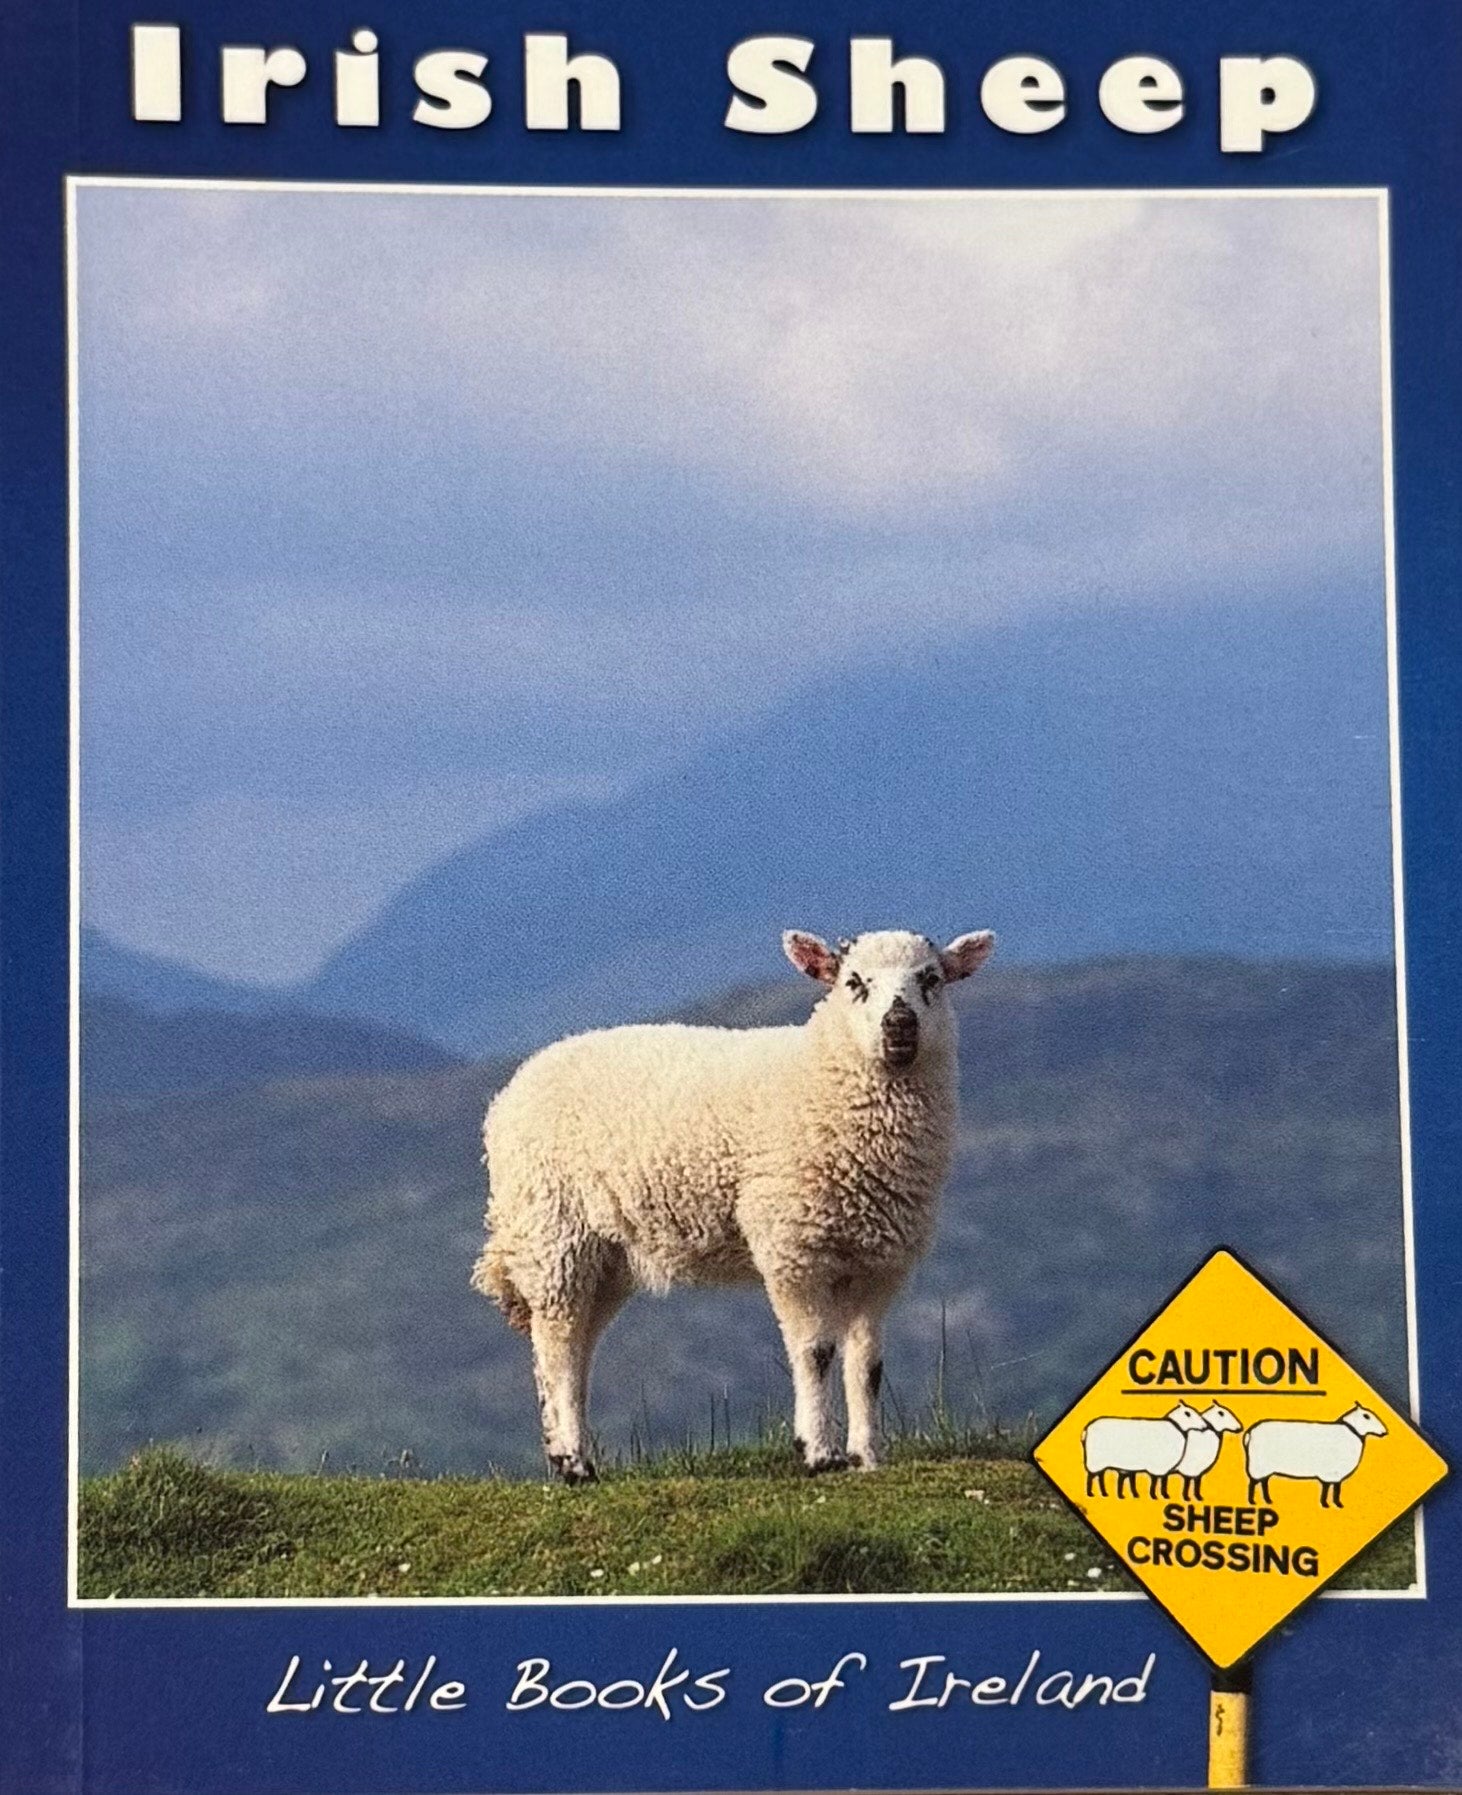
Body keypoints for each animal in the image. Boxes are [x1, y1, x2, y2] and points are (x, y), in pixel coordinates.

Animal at [472, 925, 995, 1481]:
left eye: (931, 979)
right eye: (853, 982)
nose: (900, 1025)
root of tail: (511, 1091)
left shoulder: (881, 1263)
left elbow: (867, 1364)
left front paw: (867, 1457)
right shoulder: (793, 1247)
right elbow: (815, 1353)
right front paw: (819, 1452)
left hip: (607, 1257)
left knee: (572, 1349)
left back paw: (563, 1452)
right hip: (553, 1232)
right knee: (558, 1347)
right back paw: (575, 1463)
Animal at [1244, 1404, 1387, 1506]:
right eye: (1366, 1416)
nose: (1384, 1432)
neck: (1351, 1432)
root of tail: (1249, 1433)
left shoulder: (1335, 1475)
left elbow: (1335, 1489)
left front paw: (1336, 1504)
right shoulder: (1329, 1473)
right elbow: (1327, 1488)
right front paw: (1325, 1504)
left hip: (1265, 1467)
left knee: (1263, 1482)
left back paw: (1267, 1500)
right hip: (1257, 1466)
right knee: (1253, 1483)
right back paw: (1252, 1501)